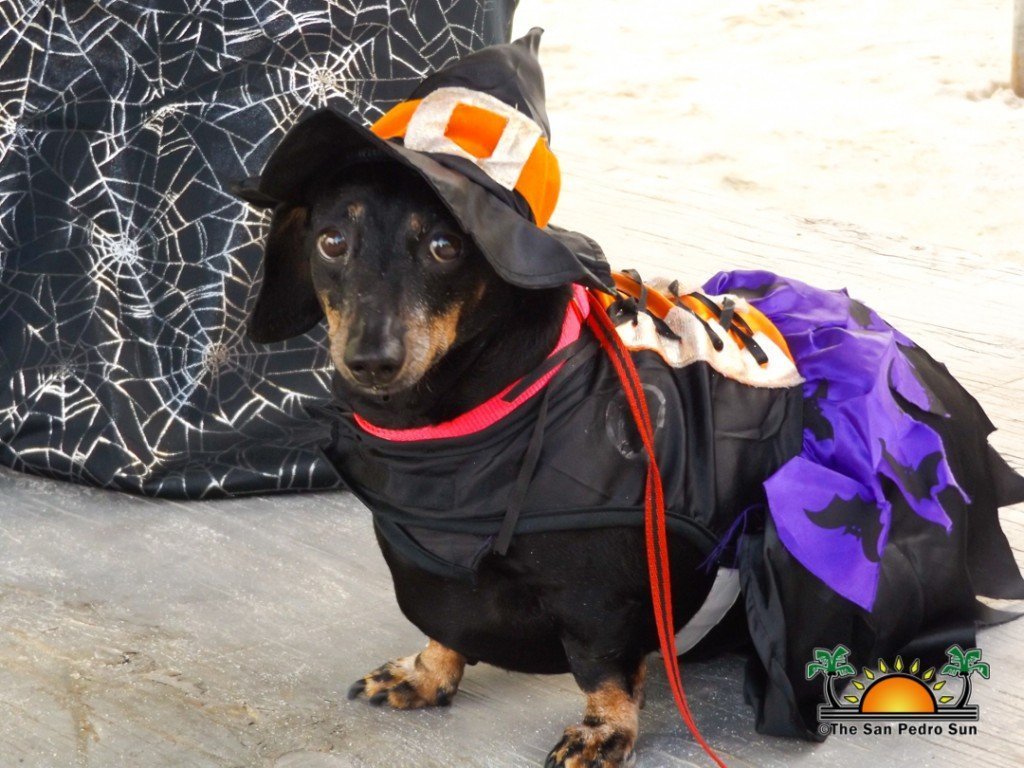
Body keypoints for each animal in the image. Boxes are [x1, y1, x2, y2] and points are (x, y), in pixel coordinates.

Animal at [235, 31, 1024, 768]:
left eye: (444, 247)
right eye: (331, 241)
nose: (371, 359)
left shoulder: (603, 593)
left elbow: (604, 667)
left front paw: (603, 729)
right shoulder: (428, 560)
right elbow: (444, 627)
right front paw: (426, 673)